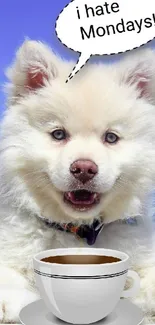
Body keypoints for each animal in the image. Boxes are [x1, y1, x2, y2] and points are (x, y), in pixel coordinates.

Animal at [0, 41, 155, 322]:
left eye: (111, 138)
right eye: (58, 134)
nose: (83, 169)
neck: (78, 230)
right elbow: (8, 273)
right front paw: (6, 298)